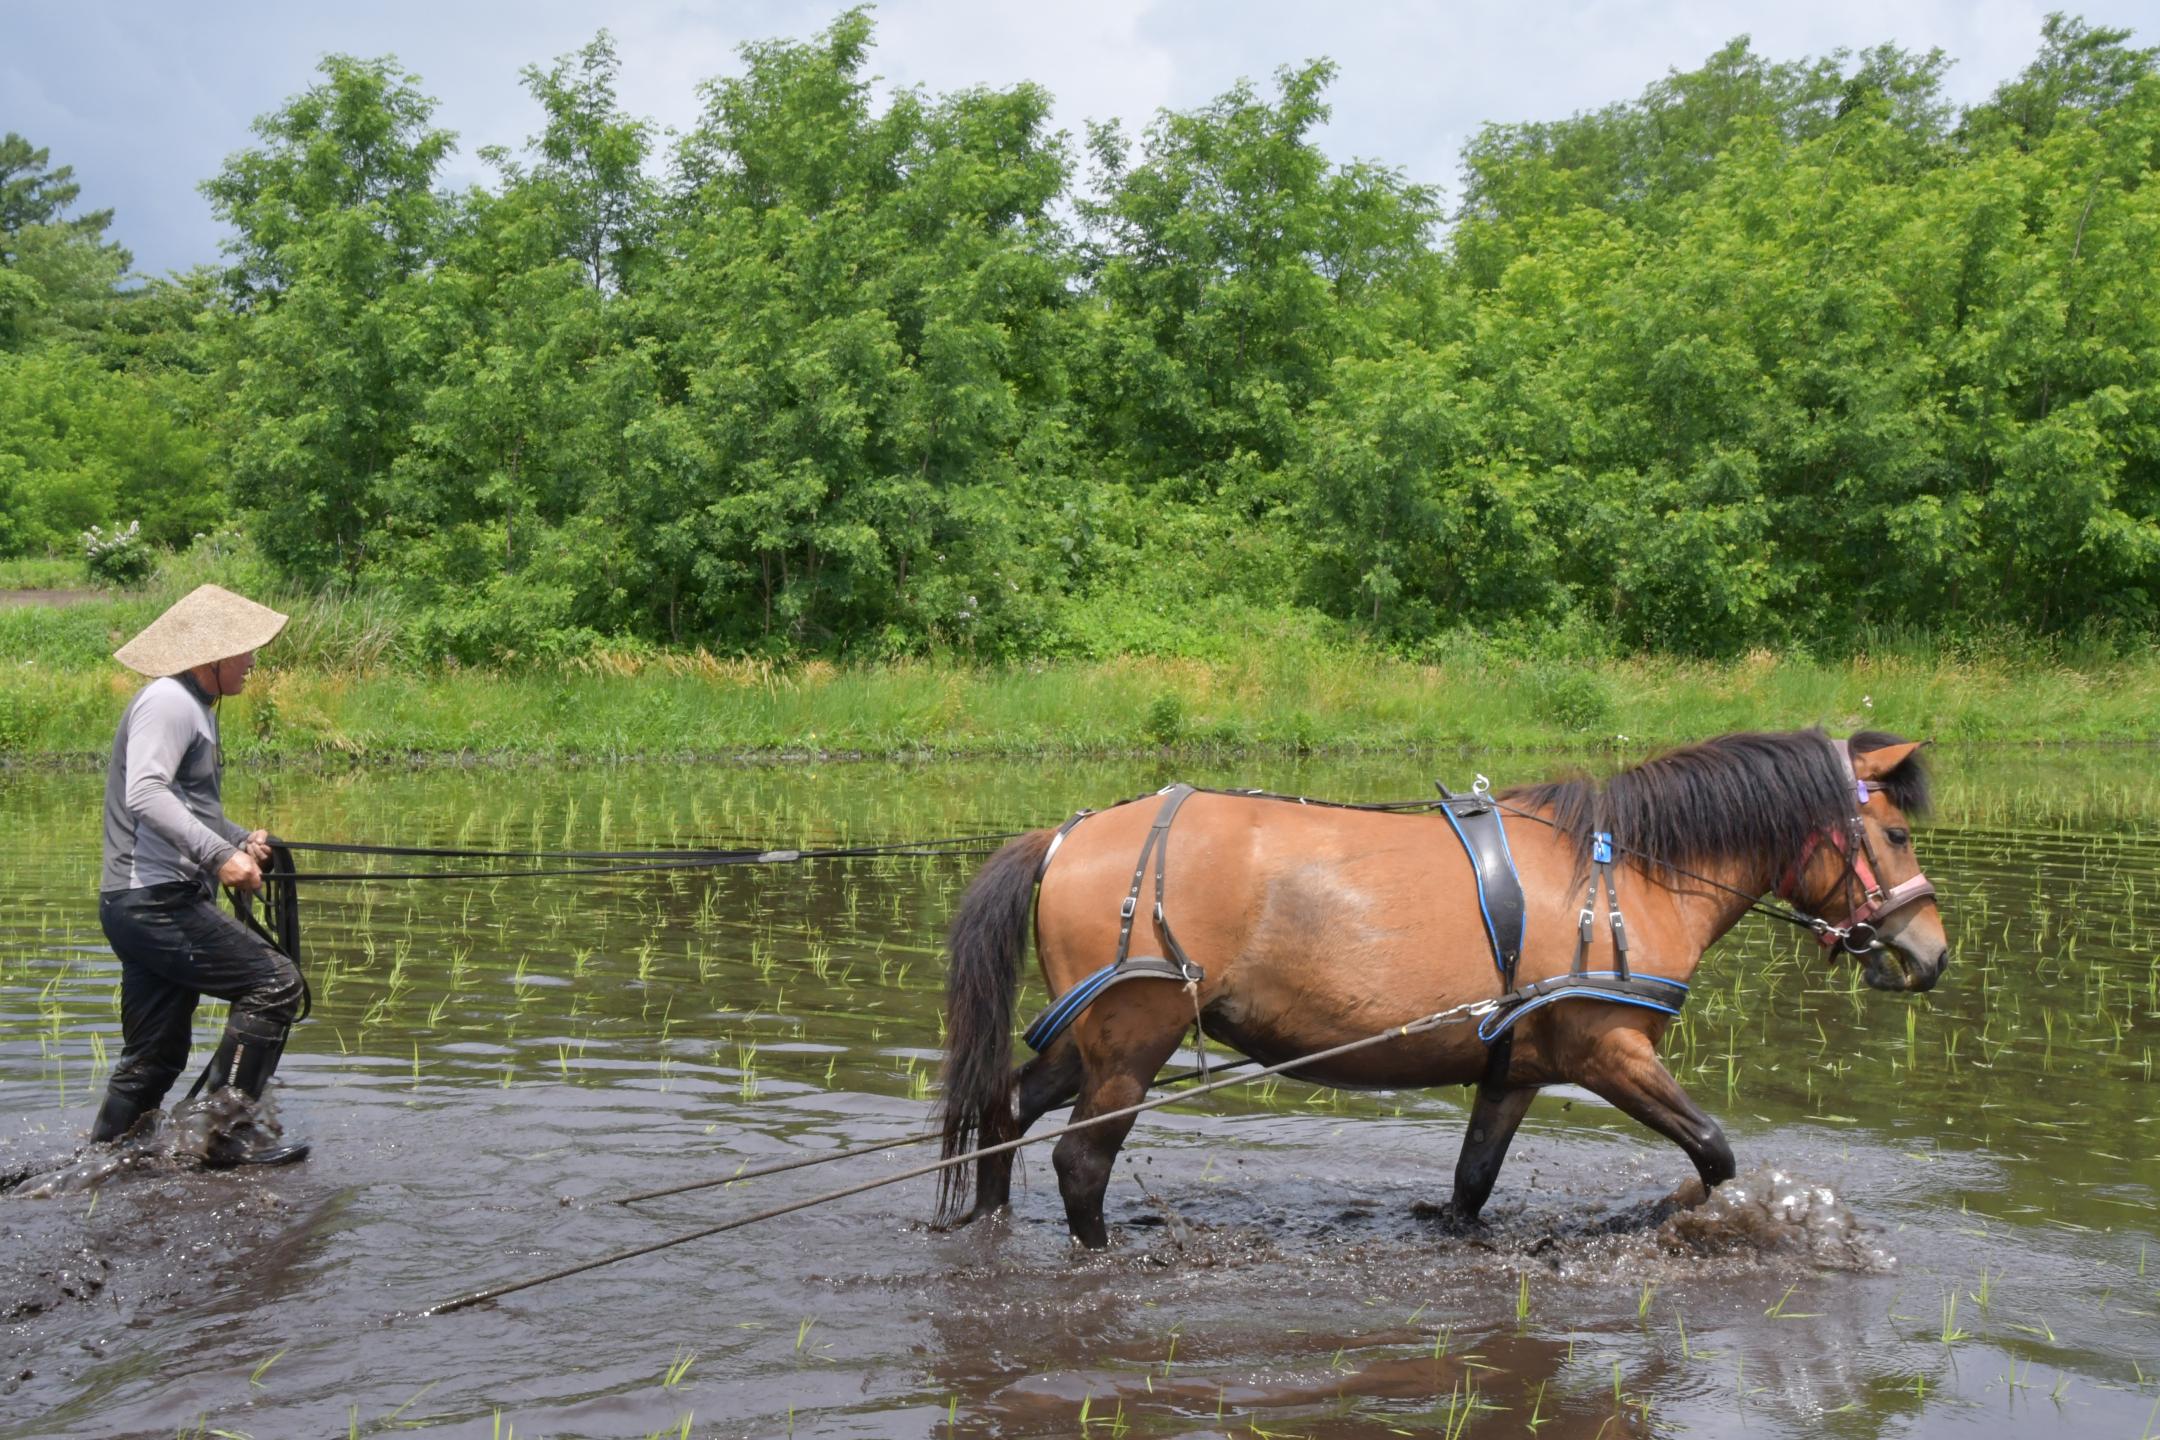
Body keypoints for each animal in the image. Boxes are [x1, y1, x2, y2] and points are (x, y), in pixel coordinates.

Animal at [933, 728, 1946, 1247]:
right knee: (1080, 1164)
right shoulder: (1607, 1051)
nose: (1930, 951)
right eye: (1895, 834)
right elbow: (1715, 1153)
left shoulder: (1516, 1071)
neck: (1624, 878)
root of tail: (1066, 837)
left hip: (1091, 1040)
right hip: (1132, 1042)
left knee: (1006, 1107)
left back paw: (989, 1222)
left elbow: (1472, 1182)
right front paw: (1695, 1218)